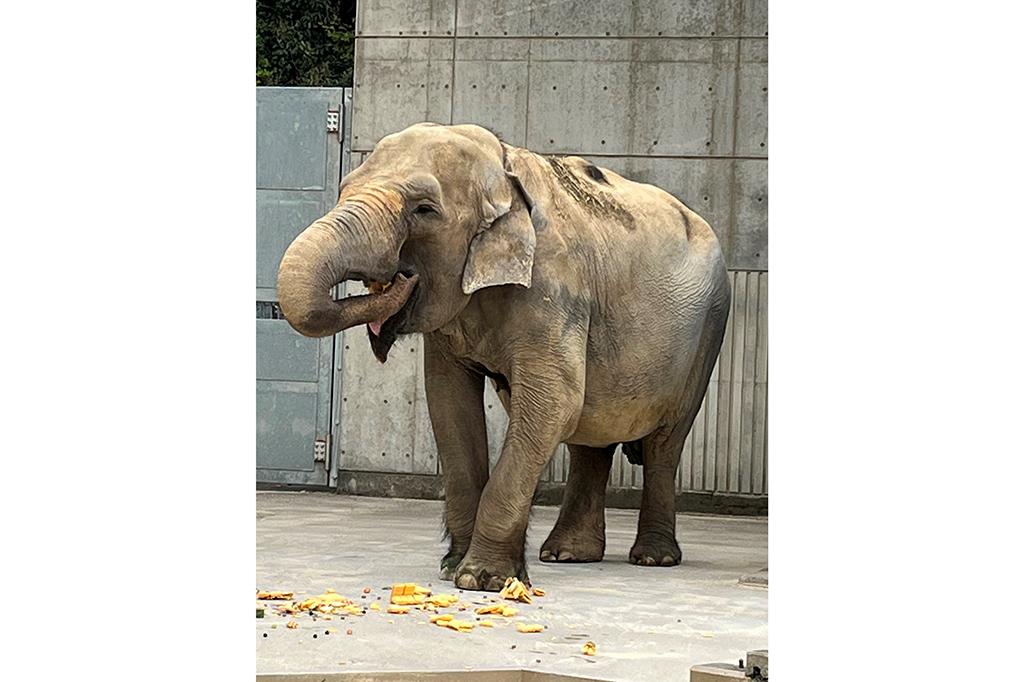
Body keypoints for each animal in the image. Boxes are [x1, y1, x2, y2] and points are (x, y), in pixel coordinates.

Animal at [276, 122, 733, 589]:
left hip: (707, 330)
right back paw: (567, 554)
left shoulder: (555, 287)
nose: (400, 279)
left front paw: (482, 579)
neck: (502, 166)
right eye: (344, 189)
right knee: (590, 436)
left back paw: (652, 558)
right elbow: (450, 405)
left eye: (423, 209)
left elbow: (553, 403)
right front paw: (453, 568)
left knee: (663, 442)